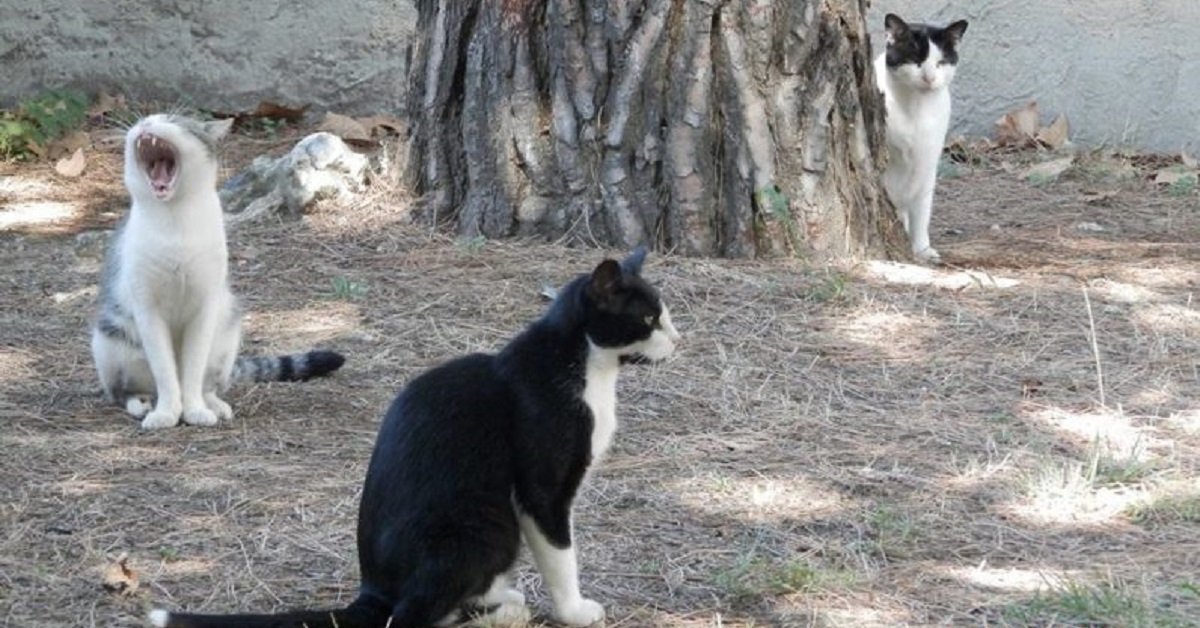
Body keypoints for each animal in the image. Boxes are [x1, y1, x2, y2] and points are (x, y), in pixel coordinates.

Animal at [92, 114, 343, 432]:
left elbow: (193, 368)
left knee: (208, 382)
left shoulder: (206, 304)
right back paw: (141, 403)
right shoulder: (147, 308)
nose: (145, 124)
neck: (174, 218)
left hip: (226, 333)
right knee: (126, 389)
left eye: (171, 119)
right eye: (142, 120)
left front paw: (194, 410)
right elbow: (165, 371)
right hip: (110, 339)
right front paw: (167, 413)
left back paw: (213, 404)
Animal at [147, 248, 686, 628]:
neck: (585, 367)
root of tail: (372, 589)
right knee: (412, 617)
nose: (679, 339)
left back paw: (498, 599)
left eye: (665, 315)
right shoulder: (543, 491)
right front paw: (575, 611)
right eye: (647, 319)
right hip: (484, 524)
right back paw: (502, 613)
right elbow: (560, 556)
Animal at [878, 12, 969, 262]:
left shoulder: (926, 162)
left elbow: (922, 210)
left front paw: (922, 249)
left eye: (941, 63)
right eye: (915, 60)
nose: (929, 78)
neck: (915, 108)